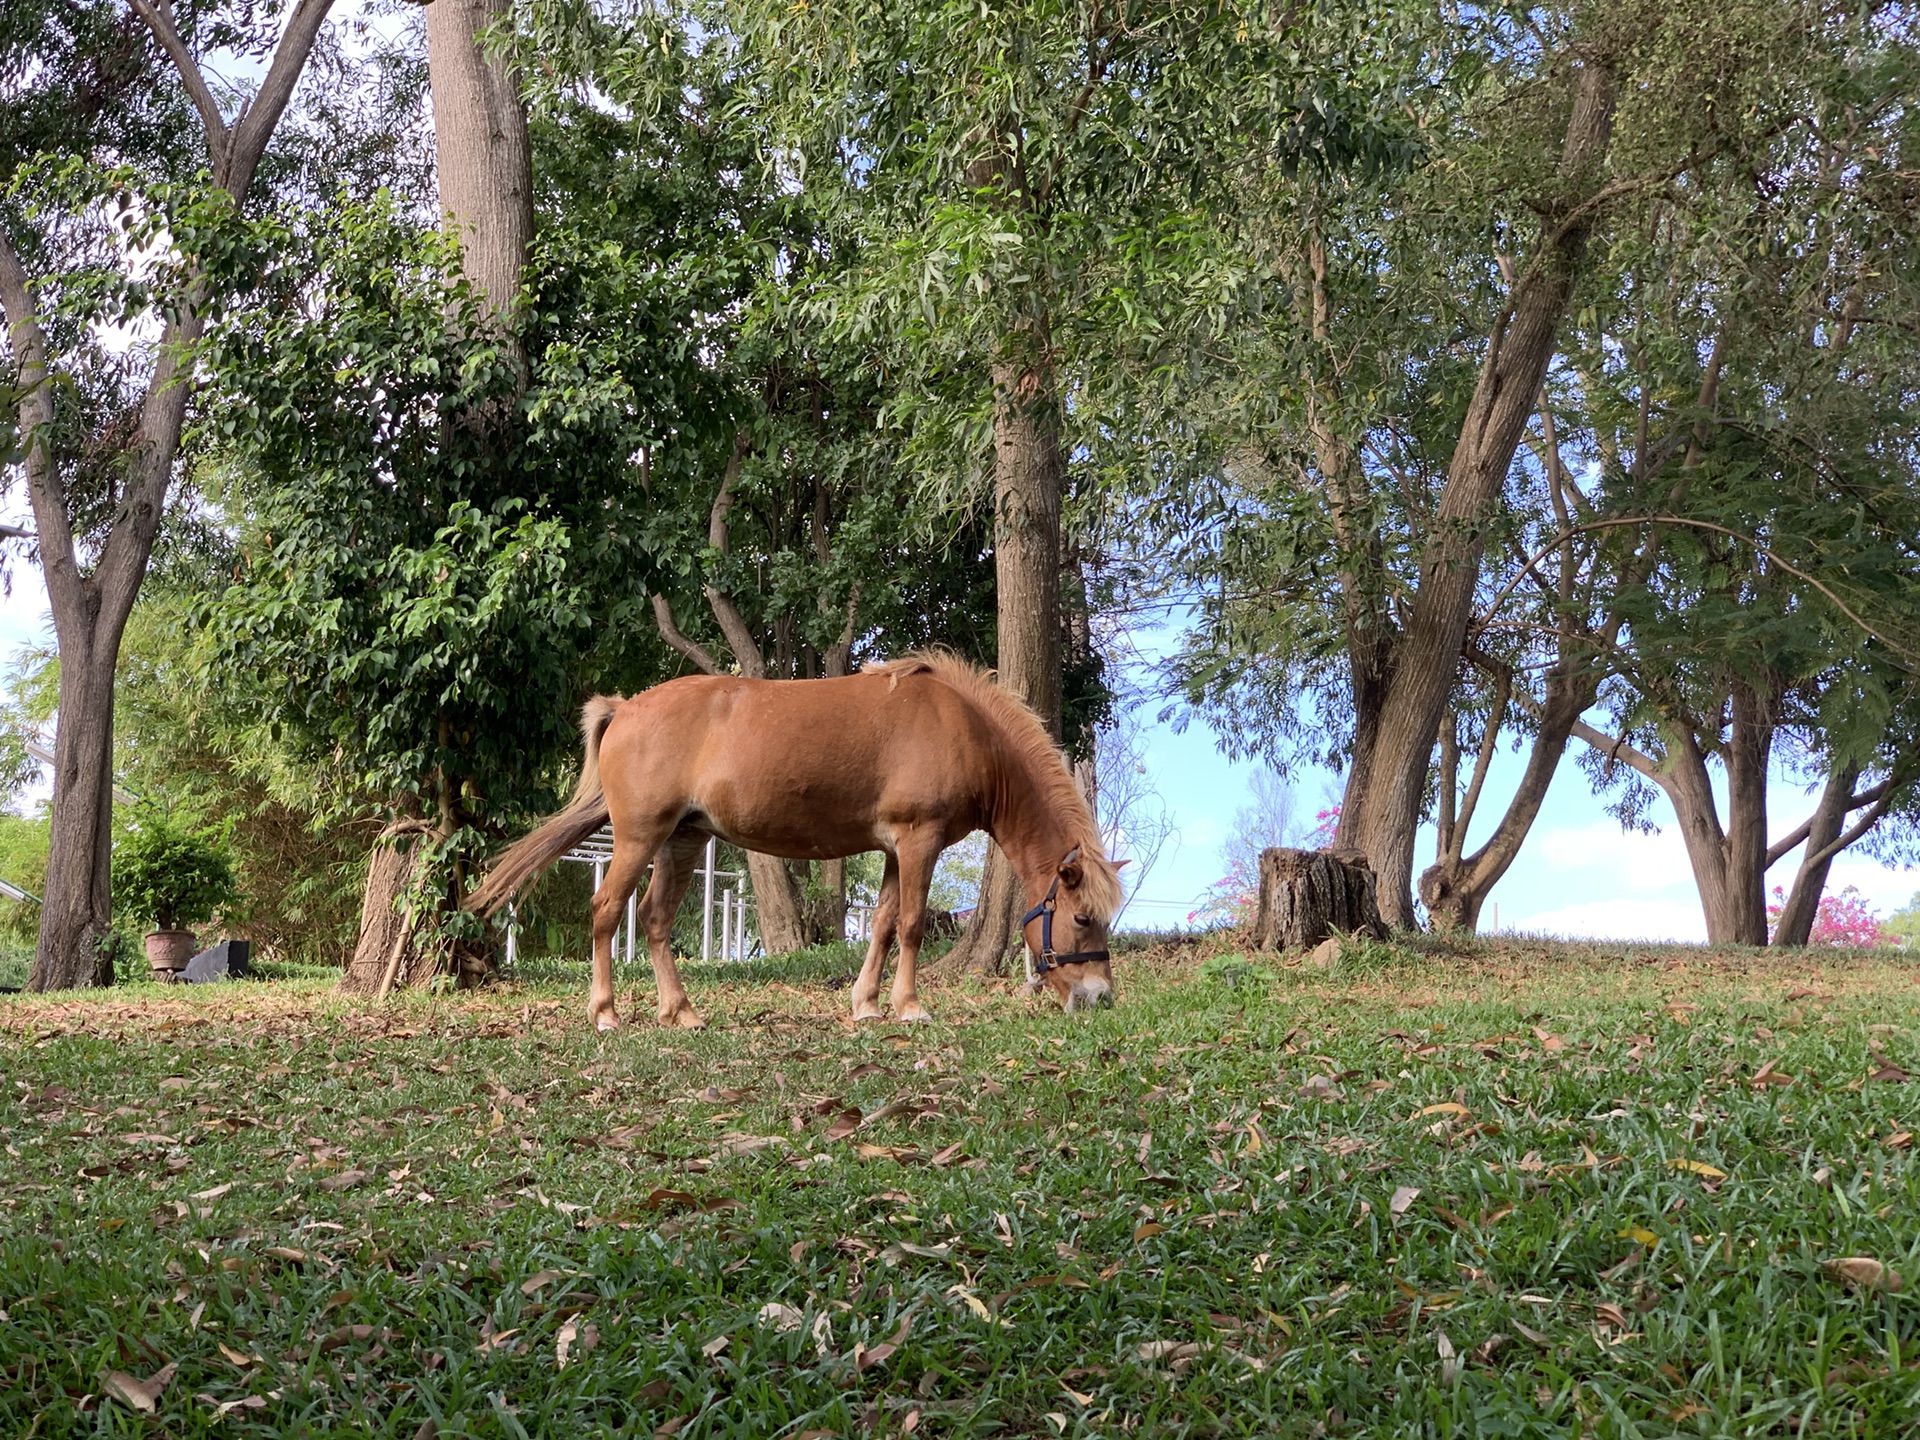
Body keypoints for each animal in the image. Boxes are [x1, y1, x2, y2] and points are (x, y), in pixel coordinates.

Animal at [466, 660, 1121, 1029]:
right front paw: (910, 1006)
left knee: (652, 920)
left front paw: (867, 1004)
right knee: (607, 913)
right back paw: (605, 1014)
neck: (964, 731)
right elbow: (910, 925)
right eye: (1082, 918)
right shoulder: (919, 841)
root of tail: (625, 708)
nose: (1099, 997)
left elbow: (883, 924)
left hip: (681, 841)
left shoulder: (894, 850)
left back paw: (681, 1012)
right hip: (638, 838)